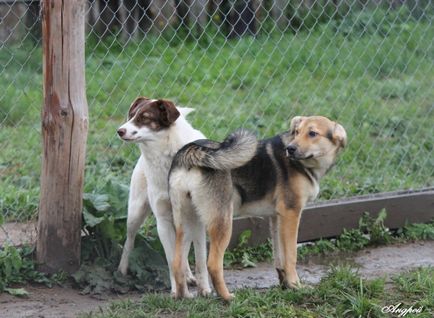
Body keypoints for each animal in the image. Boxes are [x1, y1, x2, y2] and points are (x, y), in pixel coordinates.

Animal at [116, 97, 209, 296]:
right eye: (131, 115)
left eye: (145, 117)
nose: (119, 131)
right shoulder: (163, 220)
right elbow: (171, 259)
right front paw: (176, 291)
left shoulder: (197, 219)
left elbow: (200, 260)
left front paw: (205, 289)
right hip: (135, 212)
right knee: (129, 241)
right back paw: (122, 270)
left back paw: (189, 276)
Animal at [168, 115, 348, 300]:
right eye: (297, 132)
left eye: (312, 133)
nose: (290, 149)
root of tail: (190, 151)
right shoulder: (291, 214)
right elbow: (291, 256)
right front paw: (296, 285)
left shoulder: (277, 218)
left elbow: (279, 256)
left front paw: (286, 285)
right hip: (222, 223)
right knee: (213, 264)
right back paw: (227, 297)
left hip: (186, 223)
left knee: (176, 262)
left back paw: (183, 297)